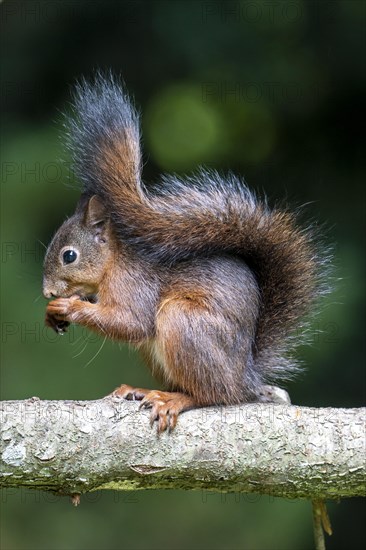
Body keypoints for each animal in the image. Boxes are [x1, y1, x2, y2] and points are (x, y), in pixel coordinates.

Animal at [43, 74, 328, 436]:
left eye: (69, 256)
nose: (47, 292)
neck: (114, 262)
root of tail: (246, 377)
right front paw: (54, 313)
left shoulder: (135, 284)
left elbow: (130, 322)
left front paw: (69, 306)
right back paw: (143, 390)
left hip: (183, 323)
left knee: (214, 395)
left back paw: (176, 399)